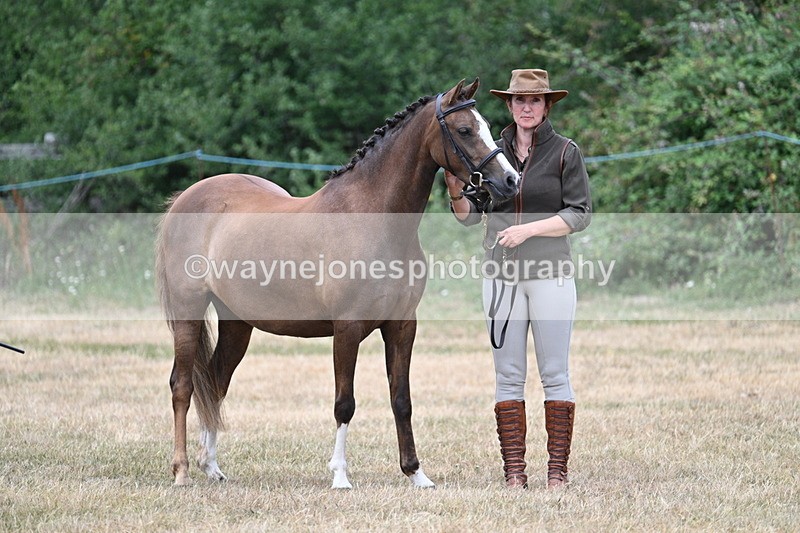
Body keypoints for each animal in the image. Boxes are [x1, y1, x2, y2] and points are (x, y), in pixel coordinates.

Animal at [155, 78, 519, 489]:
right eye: (465, 130)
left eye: (487, 126)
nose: (510, 181)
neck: (374, 218)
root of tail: (184, 199)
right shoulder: (347, 328)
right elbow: (345, 403)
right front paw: (341, 476)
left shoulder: (402, 326)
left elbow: (401, 400)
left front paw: (416, 474)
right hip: (188, 312)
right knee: (183, 386)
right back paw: (182, 471)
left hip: (237, 323)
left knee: (216, 382)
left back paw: (212, 466)